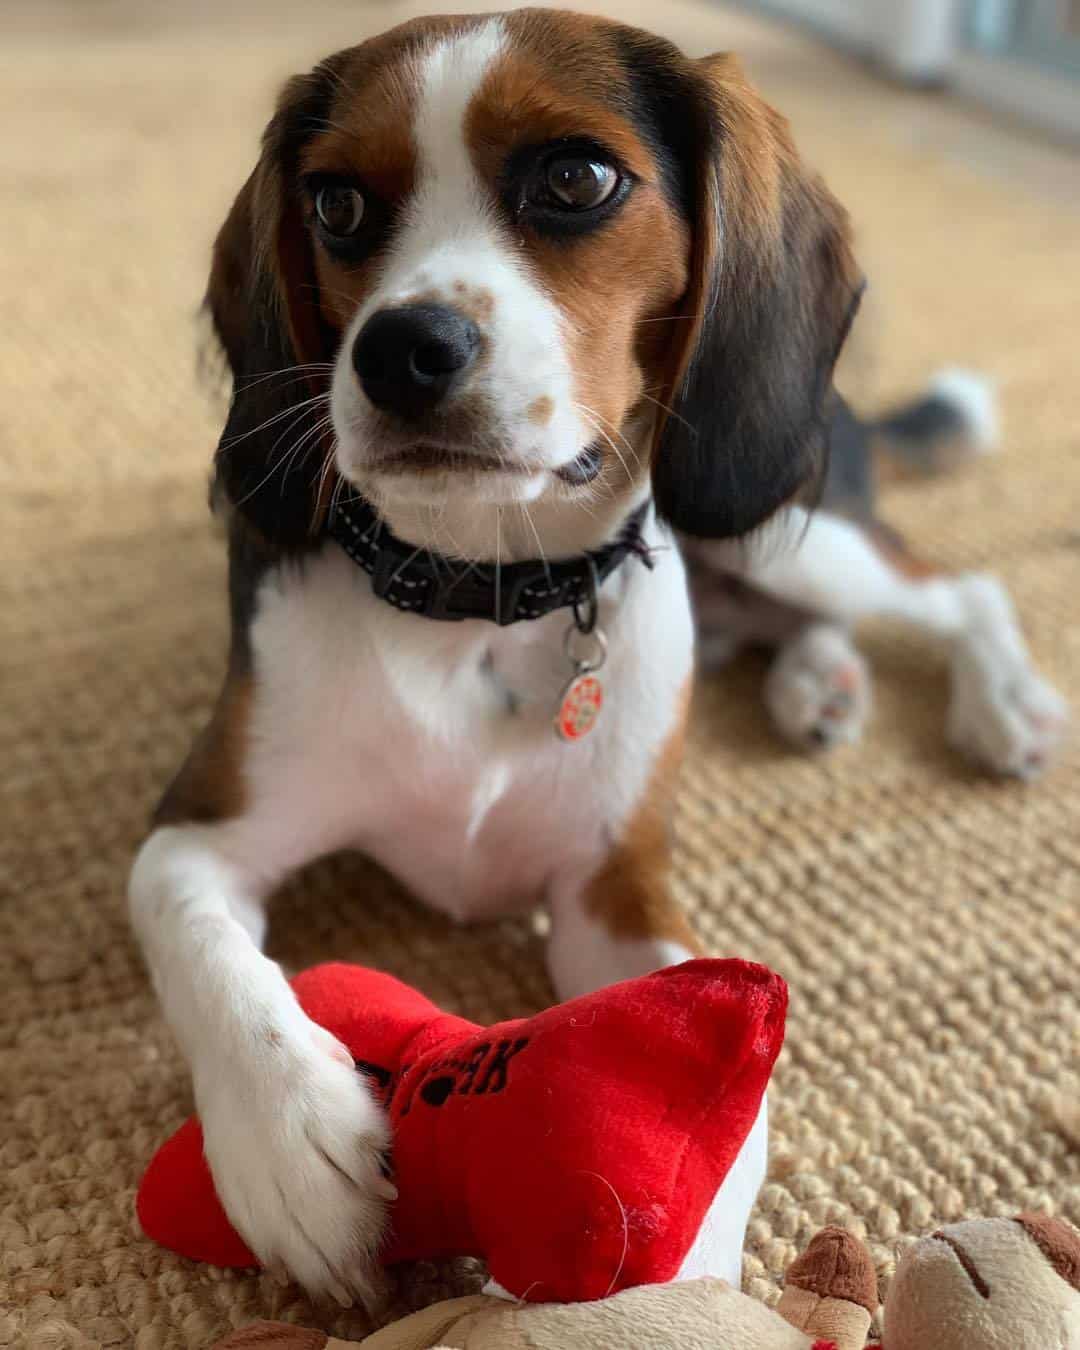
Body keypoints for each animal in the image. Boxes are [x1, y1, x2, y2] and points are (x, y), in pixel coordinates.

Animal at [128, 7, 1063, 1306]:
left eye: (576, 178)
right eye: (337, 204)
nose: (399, 350)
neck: (481, 600)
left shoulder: (619, 893)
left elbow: (731, 1110)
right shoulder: (197, 830)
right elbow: (212, 959)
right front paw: (292, 1142)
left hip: (771, 522)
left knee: (954, 588)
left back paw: (1001, 703)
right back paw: (819, 687)